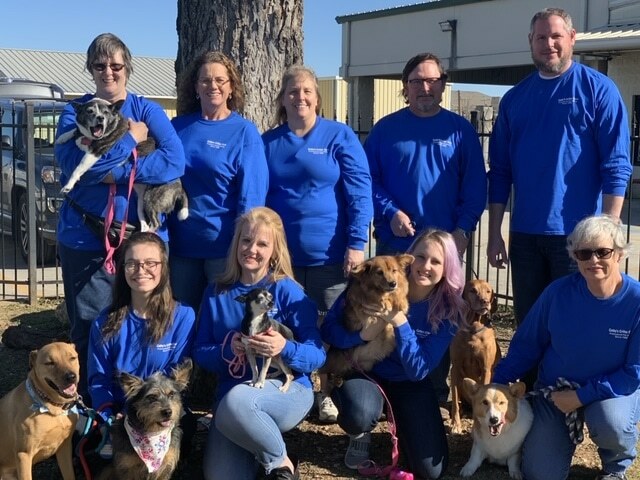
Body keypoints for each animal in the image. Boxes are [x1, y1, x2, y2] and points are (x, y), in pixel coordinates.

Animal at [0, 342, 80, 480]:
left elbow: (69, 474)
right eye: (50, 363)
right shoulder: (24, 454)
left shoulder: (65, 447)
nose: (71, 377)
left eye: (72, 358)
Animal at [55, 98, 188, 232]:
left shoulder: (95, 153)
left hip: (151, 198)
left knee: (156, 223)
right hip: (141, 199)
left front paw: (68, 185)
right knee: (144, 220)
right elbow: (74, 131)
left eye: (105, 113)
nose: (100, 118)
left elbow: (78, 168)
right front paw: (63, 137)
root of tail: (179, 187)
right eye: (89, 111)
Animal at [448, 280, 502, 434]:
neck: (473, 328)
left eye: (488, 291)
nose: (485, 302)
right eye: (473, 290)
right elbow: (454, 399)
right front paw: (455, 425)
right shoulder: (455, 368)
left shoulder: (486, 369)